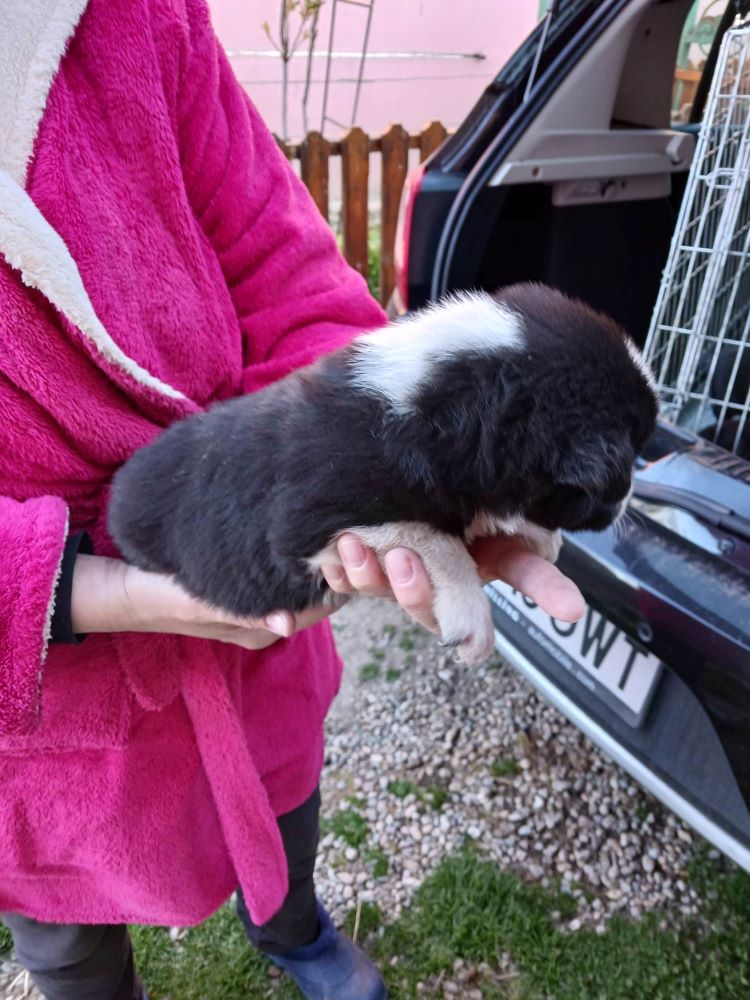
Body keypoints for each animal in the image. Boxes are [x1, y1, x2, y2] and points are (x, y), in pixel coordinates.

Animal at [110, 282, 656, 664]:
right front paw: (472, 618)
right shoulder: (314, 523)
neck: (439, 407)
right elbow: (440, 541)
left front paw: (534, 534)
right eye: (620, 465)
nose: (630, 498)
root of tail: (119, 495)